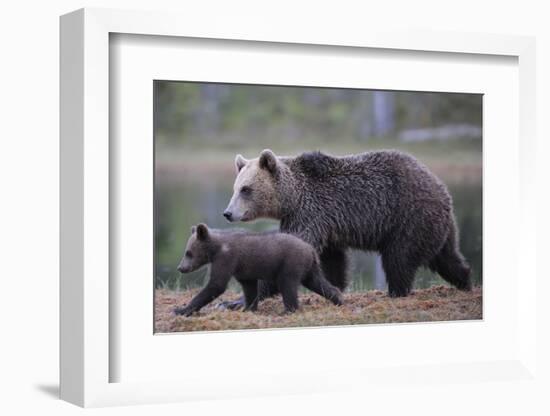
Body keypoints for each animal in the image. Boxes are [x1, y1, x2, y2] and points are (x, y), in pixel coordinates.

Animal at [222, 150, 472, 306]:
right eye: (235, 188)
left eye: (246, 189)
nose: (228, 213)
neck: (291, 199)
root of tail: (439, 186)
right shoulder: (326, 224)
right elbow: (333, 261)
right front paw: (336, 288)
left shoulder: (310, 212)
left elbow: (292, 254)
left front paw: (235, 302)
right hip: (438, 226)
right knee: (448, 258)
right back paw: (466, 282)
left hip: (408, 218)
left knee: (399, 259)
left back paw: (396, 292)